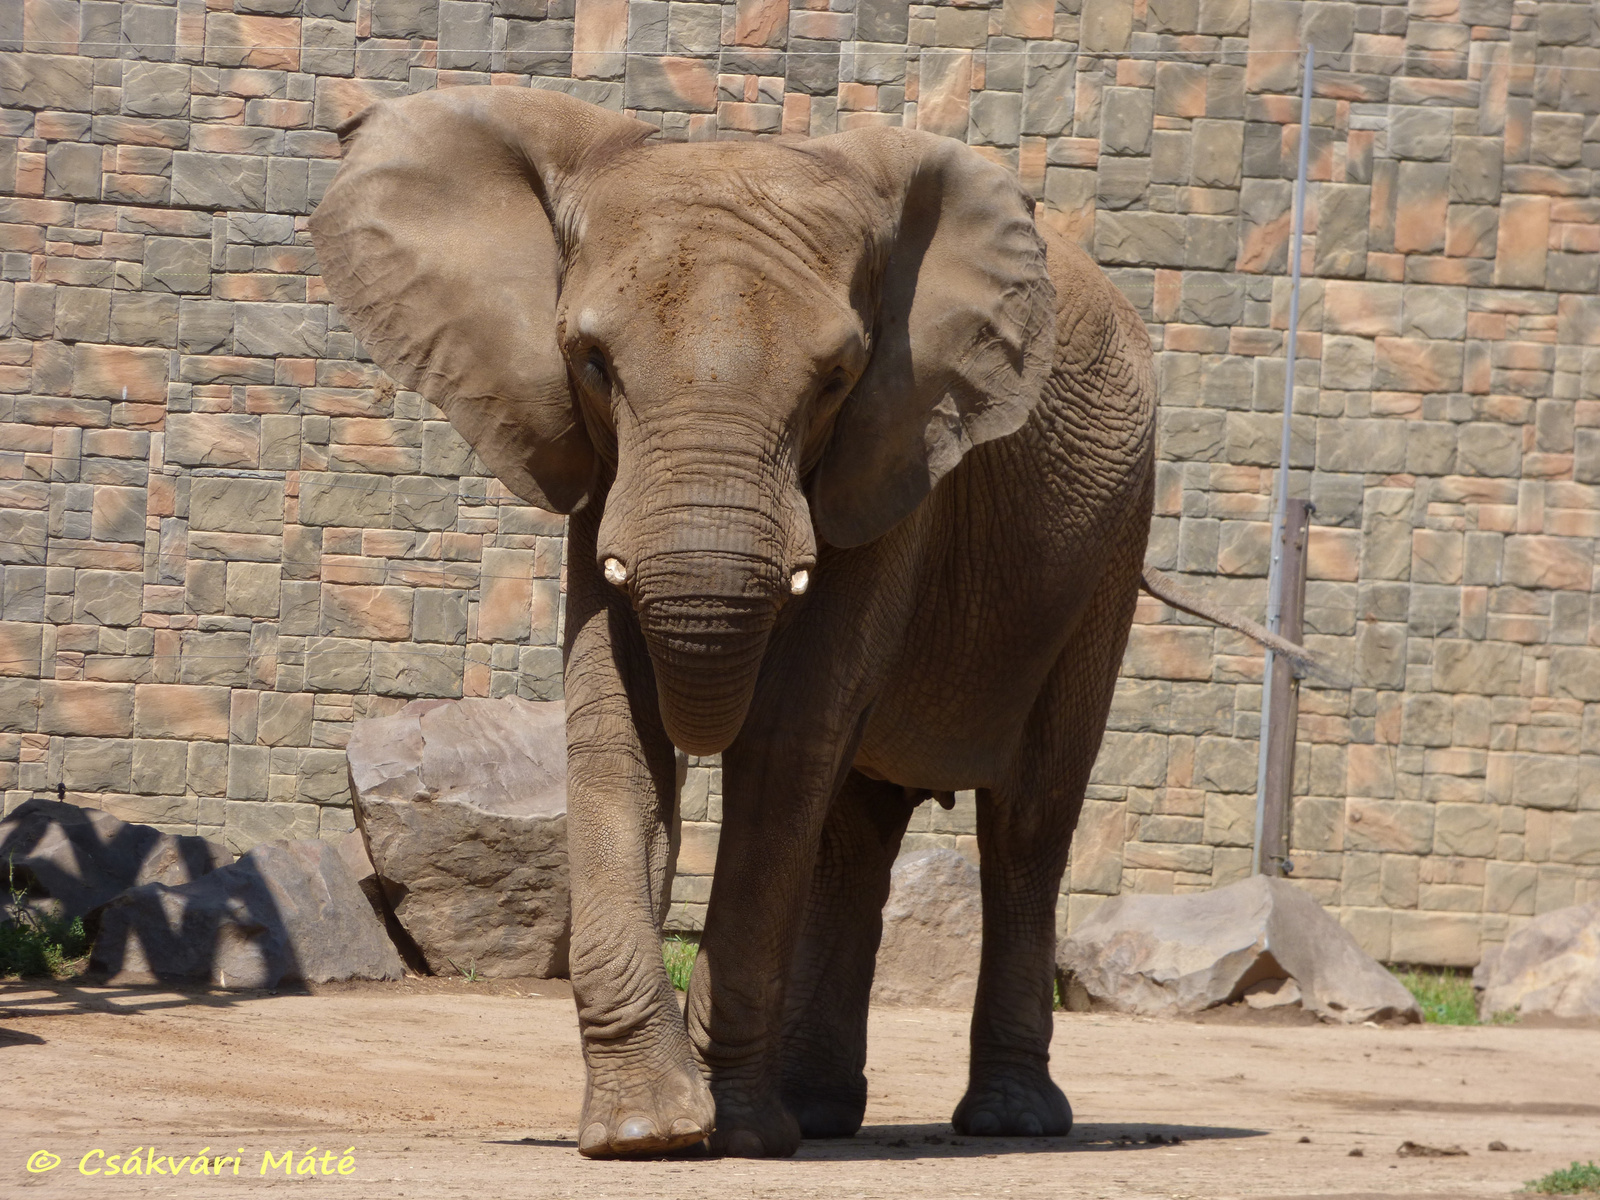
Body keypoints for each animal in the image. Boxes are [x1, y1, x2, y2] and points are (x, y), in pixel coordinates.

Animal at [308, 86, 1299, 1164]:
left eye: (835, 376)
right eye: (591, 362)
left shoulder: (899, 445)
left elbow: (787, 738)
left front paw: (732, 1131)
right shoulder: (592, 466)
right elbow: (617, 729)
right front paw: (648, 1134)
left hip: (1110, 547)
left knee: (1026, 821)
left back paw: (1007, 1119)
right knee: (855, 835)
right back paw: (821, 1113)